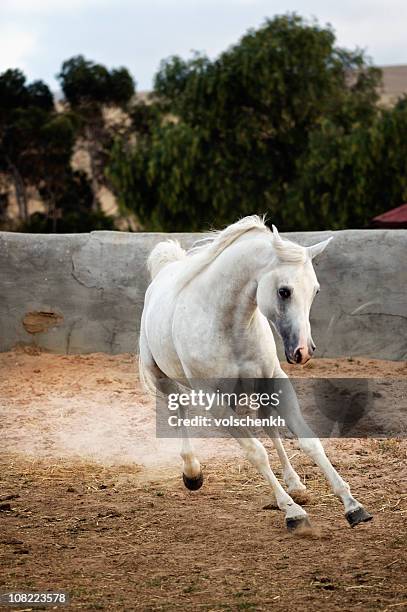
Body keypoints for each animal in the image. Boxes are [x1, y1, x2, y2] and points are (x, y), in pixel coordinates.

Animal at [140, 216, 372, 532]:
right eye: (284, 291)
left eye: (315, 290)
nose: (304, 351)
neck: (225, 322)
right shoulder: (214, 402)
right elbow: (256, 451)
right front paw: (292, 512)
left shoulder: (274, 382)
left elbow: (308, 441)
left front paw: (352, 505)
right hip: (164, 380)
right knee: (180, 413)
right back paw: (192, 472)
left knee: (269, 425)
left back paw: (296, 484)